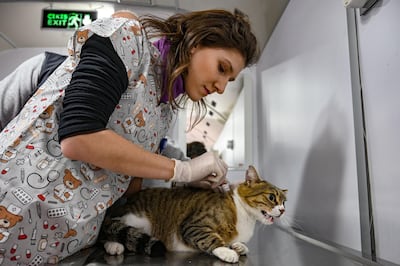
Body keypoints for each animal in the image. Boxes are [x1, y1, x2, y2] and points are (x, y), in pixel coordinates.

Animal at [100, 165, 288, 262]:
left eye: (284, 201)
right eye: (272, 197)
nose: (283, 210)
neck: (247, 218)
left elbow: (240, 244)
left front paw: (239, 246)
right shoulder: (193, 225)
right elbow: (211, 239)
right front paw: (226, 251)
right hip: (137, 219)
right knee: (110, 230)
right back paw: (114, 245)